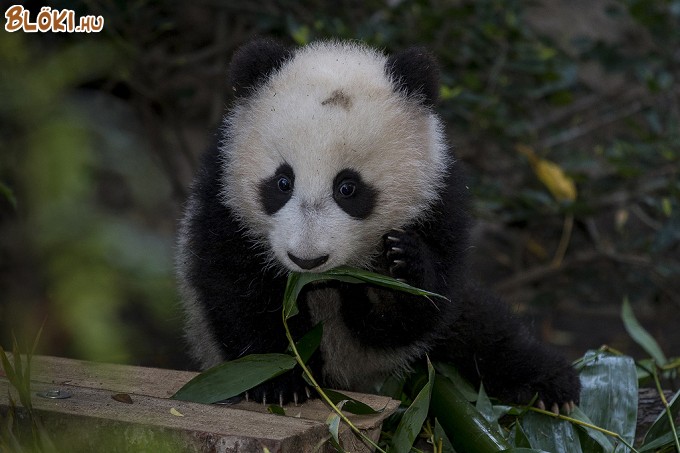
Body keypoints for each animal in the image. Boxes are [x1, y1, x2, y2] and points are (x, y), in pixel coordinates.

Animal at [176, 38, 581, 412]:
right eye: (282, 182)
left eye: (348, 187)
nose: (306, 259)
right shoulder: (223, 202)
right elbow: (238, 292)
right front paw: (278, 378)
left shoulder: (437, 199)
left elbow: (417, 311)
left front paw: (400, 262)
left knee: (484, 335)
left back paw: (551, 386)